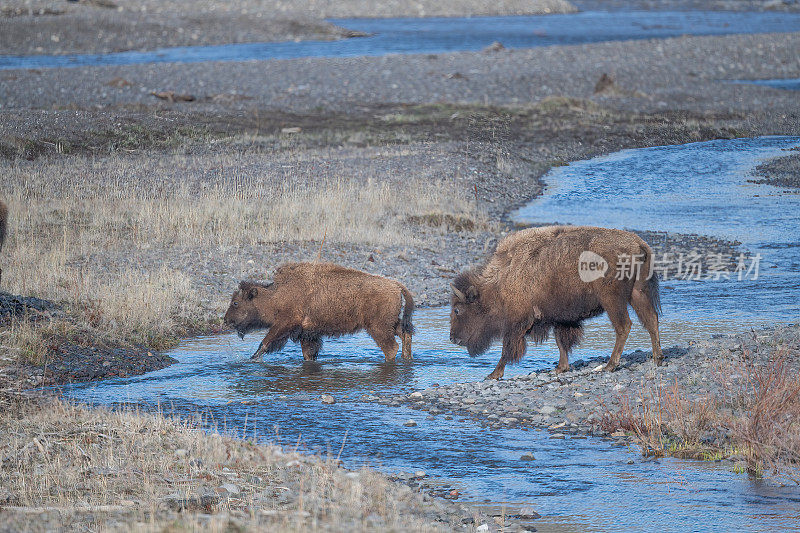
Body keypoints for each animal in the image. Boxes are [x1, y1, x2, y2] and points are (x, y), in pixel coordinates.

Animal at [223, 262, 416, 362]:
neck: (277, 295)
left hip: (378, 327)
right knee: (405, 334)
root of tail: (395, 285)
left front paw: (253, 358)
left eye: (235, 303)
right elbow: (308, 354)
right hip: (391, 323)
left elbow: (265, 342)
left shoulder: (285, 324)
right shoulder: (308, 334)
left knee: (391, 347)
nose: (226, 321)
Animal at [450, 224, 664, 378]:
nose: (453, 338)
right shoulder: (560, 318)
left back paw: (610, 366)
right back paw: (658, 358)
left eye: (457, 310)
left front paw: (494, 374)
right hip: (638, 293)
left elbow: (507, 349)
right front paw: (560, 368)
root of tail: (639, 244)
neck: (501, 279)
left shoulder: (517, 323)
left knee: (624, 326)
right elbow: (561, 342)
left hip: (612, 300)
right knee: (651, 320)